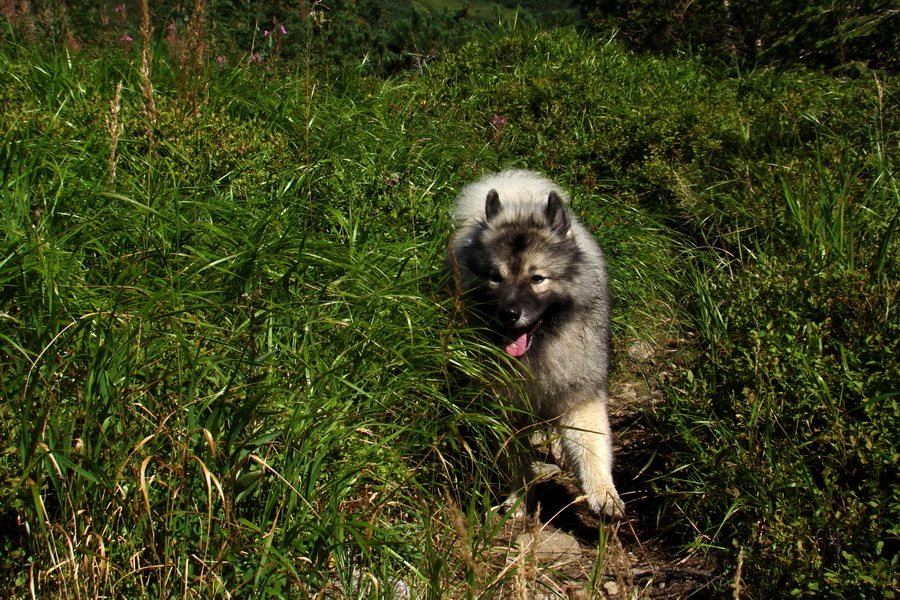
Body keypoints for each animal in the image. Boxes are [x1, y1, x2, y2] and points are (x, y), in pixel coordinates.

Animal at [446, 169, 624, 516]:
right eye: (495, 278)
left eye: (537, 278)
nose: (509, 314)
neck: (538, 349)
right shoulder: (503, 406)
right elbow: (513, 457)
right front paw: (518, 496)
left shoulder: (578, 393)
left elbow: (591, 445)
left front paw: (604, 493)